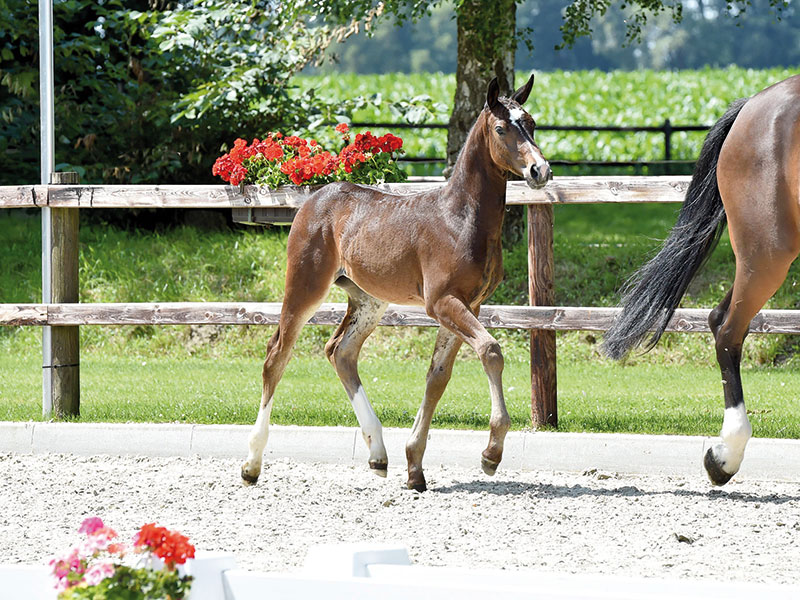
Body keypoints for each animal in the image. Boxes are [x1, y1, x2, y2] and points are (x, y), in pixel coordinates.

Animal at [240, 74, 552, 492]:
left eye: (531, 123)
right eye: (502, 128)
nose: (540, 171)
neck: (461, 218)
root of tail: (313, 199)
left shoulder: (469, 304)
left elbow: (438, 376)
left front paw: (414, 466)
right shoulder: (442, 302)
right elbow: (490, 351)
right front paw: (491, 454)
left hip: (368, 301)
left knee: (340, 351)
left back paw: (378, 454)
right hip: (305, 285)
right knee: (277, 355)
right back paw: (252, 464)